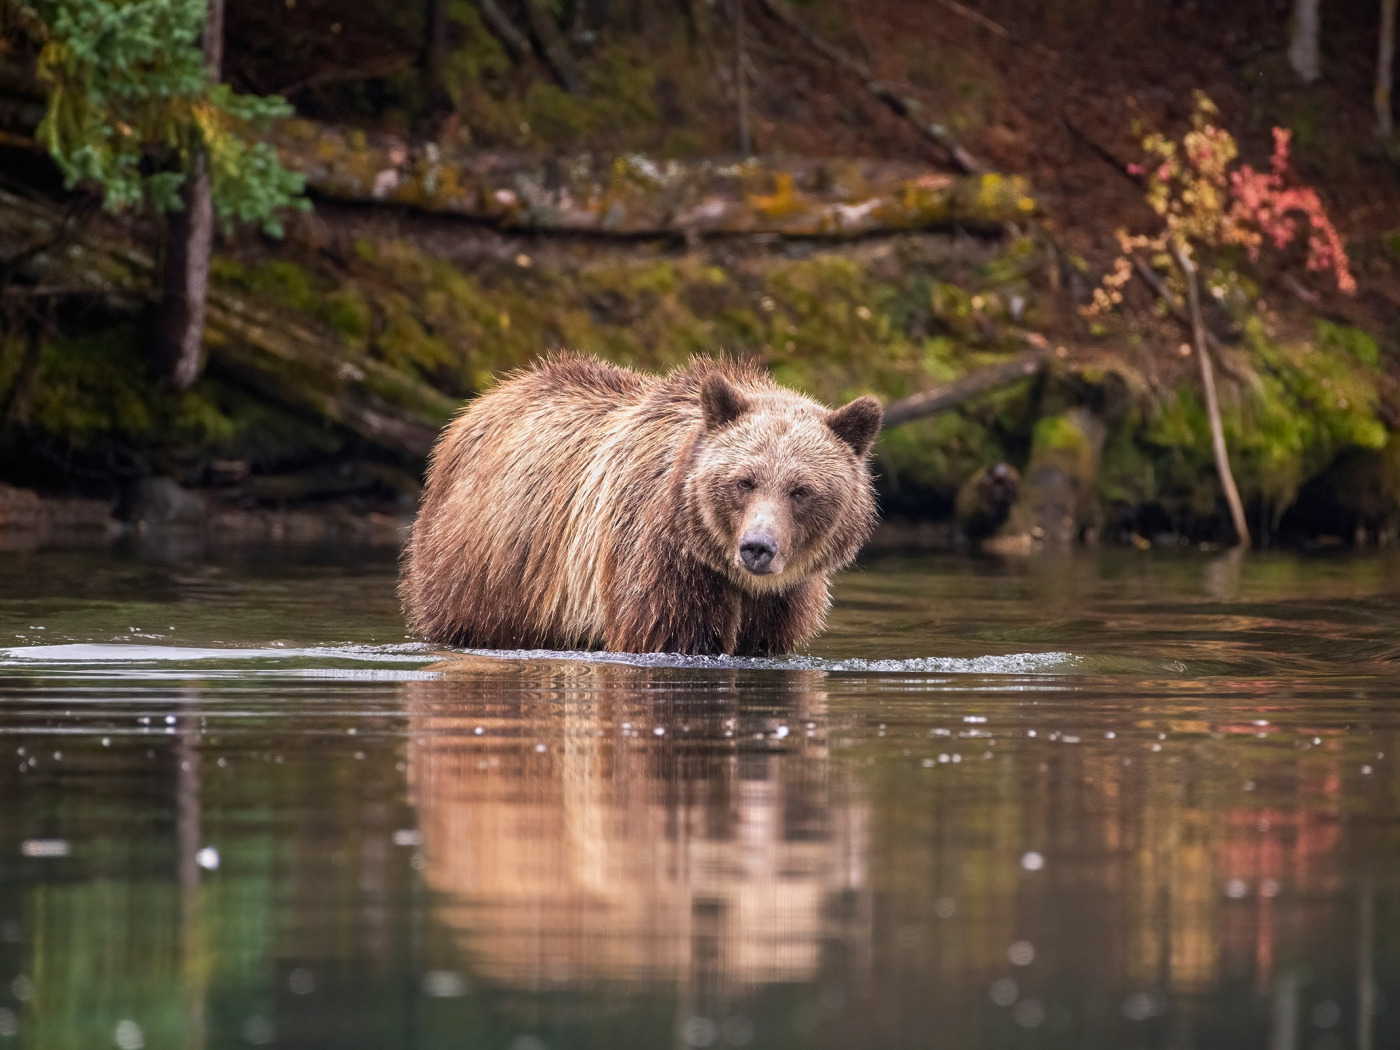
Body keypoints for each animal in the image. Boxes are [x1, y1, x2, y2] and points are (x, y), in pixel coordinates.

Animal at [400, 358, 879, 660]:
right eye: (744, 481)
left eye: (801, 490)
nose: (758, 547)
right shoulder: (661, 563)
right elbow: (667, 636)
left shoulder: (780, 603)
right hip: (484, 571)